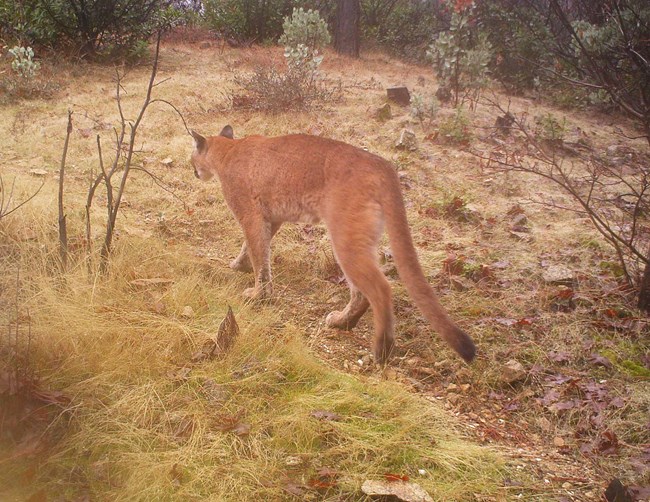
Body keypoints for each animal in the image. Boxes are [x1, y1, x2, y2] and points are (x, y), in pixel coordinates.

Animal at [190, 123, 474, 362]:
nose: (193, 170)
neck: (228, 150)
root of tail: (383, 164)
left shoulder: (250, 215)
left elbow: (259, 253)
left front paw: (259, 294)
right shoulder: (272, 218)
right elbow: (256, 248)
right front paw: (241, 265)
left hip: (344, 236)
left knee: (380, 288)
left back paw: (379, 348)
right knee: (364, 291)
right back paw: (344, 323)